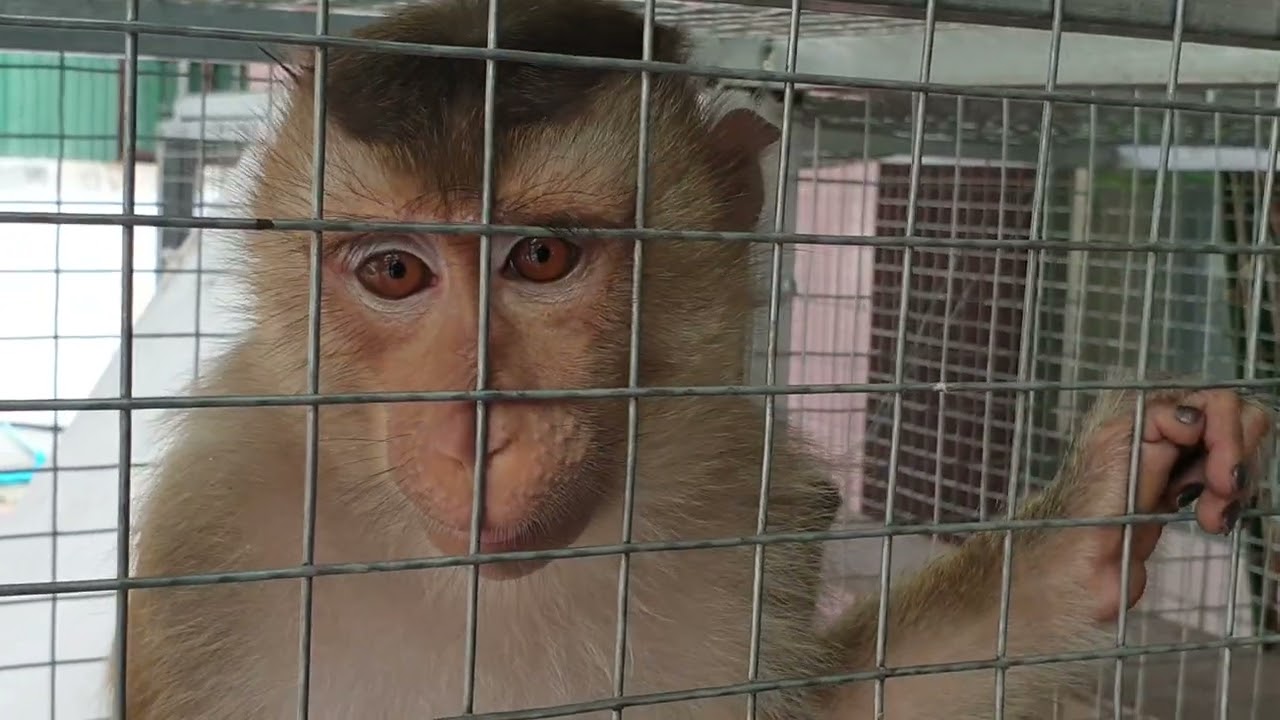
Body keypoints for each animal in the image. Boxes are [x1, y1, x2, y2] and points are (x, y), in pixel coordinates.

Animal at [110, 1, 1275, 718]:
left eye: (541, 256)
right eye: (394, 271)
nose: (475, 428)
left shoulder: (749, 506)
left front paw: (1104, 509)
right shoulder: (212, 540)